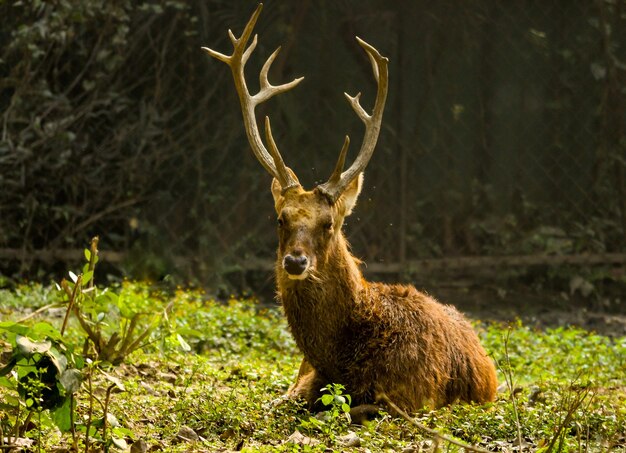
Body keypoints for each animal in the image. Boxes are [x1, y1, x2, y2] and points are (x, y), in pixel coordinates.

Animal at [202, 3, 494, 414]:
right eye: (280, 219)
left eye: (329, 224)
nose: (295, 261)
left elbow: (358, 410)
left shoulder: (413, 394)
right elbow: (279, 403)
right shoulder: (304, 380)